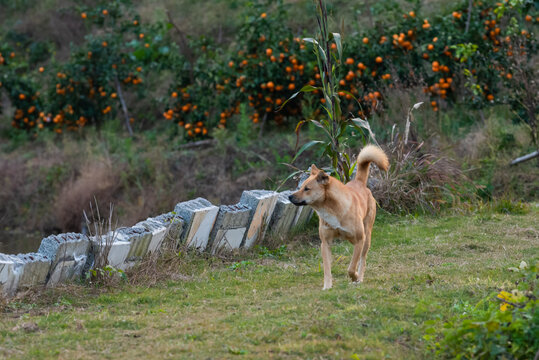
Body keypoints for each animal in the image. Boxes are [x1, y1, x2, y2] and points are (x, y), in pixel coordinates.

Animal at [292, 146, 388, 290]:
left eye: (307, 189)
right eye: (300, 187)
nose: (289, 197)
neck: (332, 208)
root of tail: (359, 182)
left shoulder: (360, 240)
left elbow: (351, 267)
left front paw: (355, 277)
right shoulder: (325, 243)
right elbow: (327, 269)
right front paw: (327, 286)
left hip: (366, 238)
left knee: (362, 260)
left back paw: (360, 278)